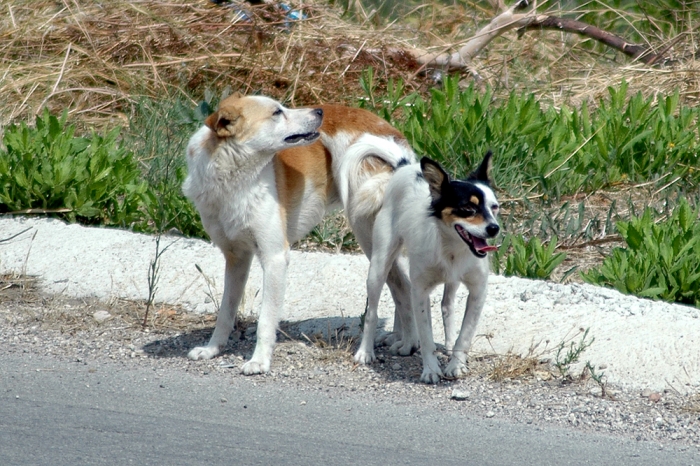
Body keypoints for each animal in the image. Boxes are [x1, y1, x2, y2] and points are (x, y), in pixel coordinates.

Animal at [183, 94, 418, 374]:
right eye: (277, 112)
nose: (319, 112)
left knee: (403, 287)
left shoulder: (274, 258)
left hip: (369, 235)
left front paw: (259, 361)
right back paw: (400, 339)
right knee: (400, 287)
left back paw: (406, 344)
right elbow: (225, 314)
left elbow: (265, 321)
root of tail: (389, 131)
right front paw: (212, 349)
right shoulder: (236, 259)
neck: (232, 178)